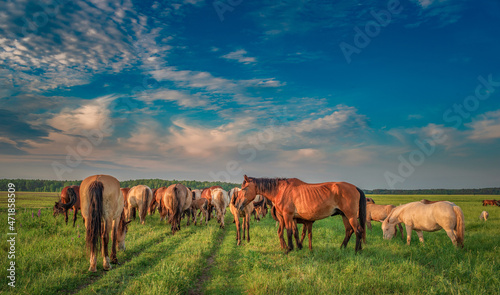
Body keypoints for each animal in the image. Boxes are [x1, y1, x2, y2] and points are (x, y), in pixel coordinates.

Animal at [236, 176, 366, 254]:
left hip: (351, 216)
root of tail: (355, 187)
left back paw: (356, 251)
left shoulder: (287, 216)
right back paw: (342, 248)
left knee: (358, 230)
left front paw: (289, 249)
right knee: (349, 231)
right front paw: (296, 247)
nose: (237, 204)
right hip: (345, 216)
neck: (280, 190)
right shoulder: (291, 218)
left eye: (244, 188)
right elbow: (294, 232)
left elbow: (289, 232)